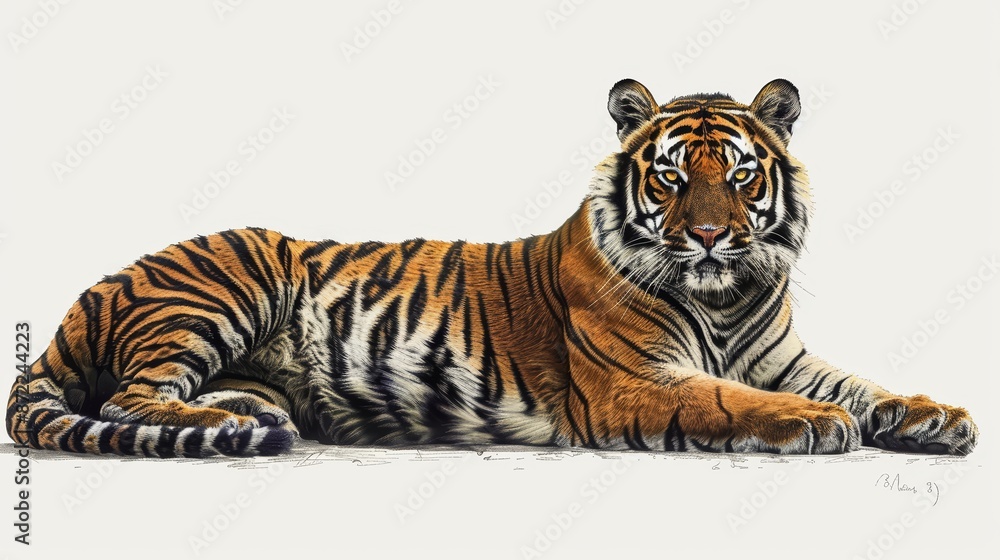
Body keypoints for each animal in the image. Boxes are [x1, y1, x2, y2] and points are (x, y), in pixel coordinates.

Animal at [6, 78, 978, 458]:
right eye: (671, 177)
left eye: (739, 176)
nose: (707, 237)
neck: (727, 296)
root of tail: (79, 305)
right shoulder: (634, 382)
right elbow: (730, 399)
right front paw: (815, 423)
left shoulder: (785, 356)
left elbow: (863, 384)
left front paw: (937, 416)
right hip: (227, 277)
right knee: (129, 398)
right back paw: (232, 420)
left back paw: (256, 412)